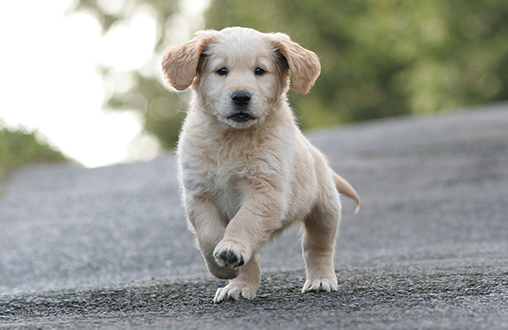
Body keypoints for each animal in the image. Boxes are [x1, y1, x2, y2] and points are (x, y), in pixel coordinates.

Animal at [161, 27, 360, 302]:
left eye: (260, 71)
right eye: (221, 70)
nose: (241, 97)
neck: (232, 138)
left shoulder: (266, 190)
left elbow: (244, 221)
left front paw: (231, 248)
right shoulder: (199, 194)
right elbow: (209, 235)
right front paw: (224, 266)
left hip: (325, 208)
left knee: (317, 246)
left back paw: (320, 280)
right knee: (253, 257)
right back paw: (238, 286)